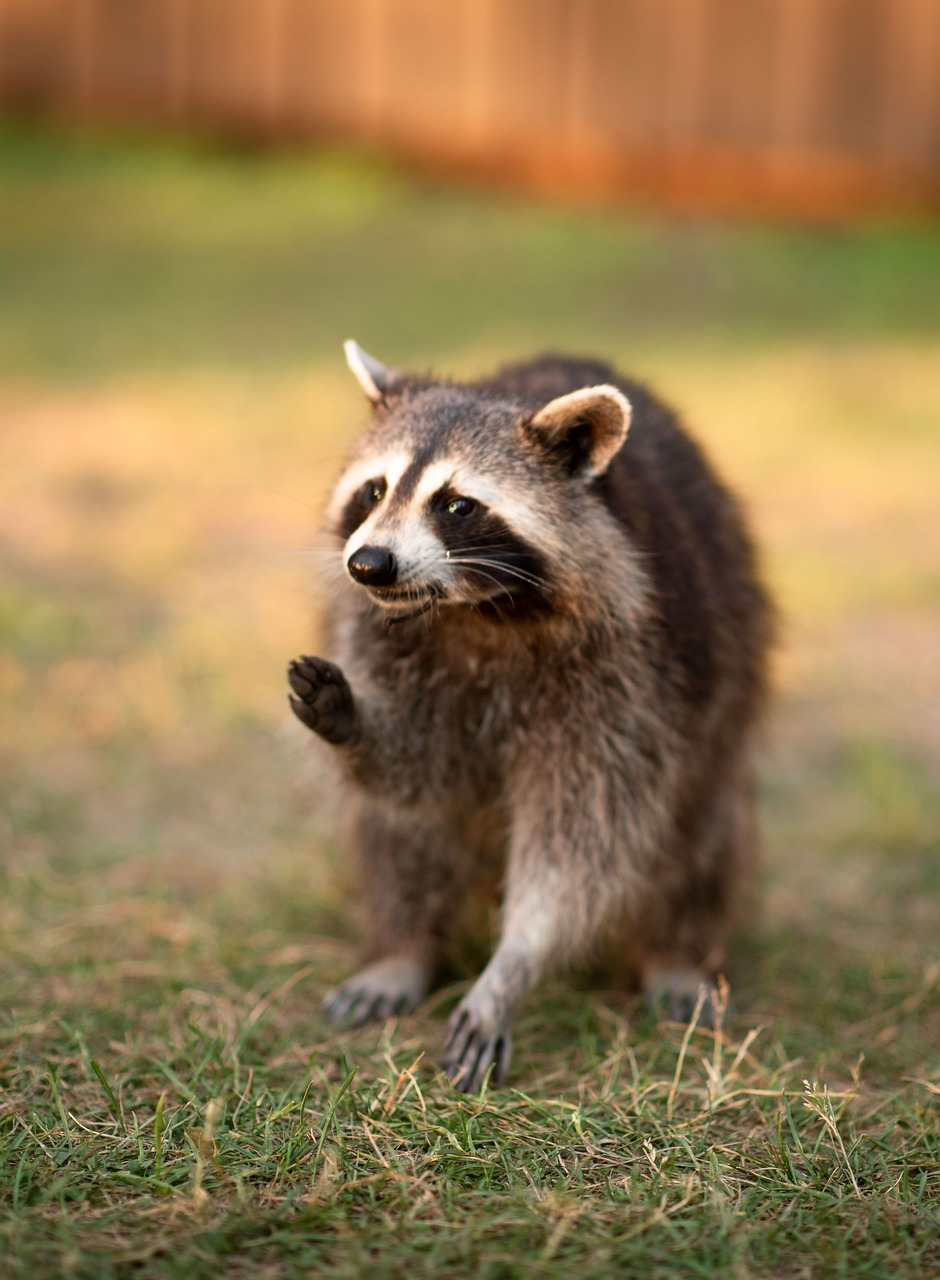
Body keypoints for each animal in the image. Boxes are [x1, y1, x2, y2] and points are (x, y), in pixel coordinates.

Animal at [288, 341, 773, 1093]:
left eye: (456, 505)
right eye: (374, 490)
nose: (368, 564)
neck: (472, 611)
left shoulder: (628, 670)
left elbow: (583, 838)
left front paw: (513, 966)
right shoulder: (376, 635)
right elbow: (422, 774)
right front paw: (353, 721)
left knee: (694, 842)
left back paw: (674, 953)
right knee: (395, 837)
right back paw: (402, 946)